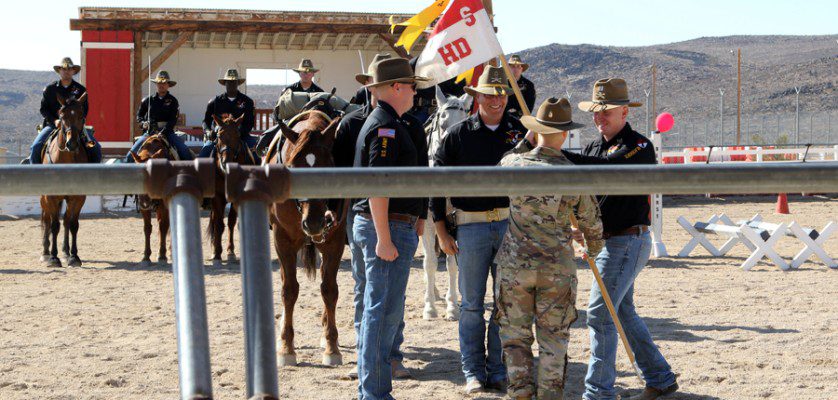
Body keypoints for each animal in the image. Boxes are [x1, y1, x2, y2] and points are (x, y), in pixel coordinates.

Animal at [41, 93, 88, 268]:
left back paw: (66, 252)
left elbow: (73, 224)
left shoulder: (79, 197)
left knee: (67, 220)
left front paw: (74, 256)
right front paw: (54, 258)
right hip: (44, 198)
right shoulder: (51, 197)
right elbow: (54, 226)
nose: (71, 143)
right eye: (61, 116)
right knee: (46, 220)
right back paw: (45, 253)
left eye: (81, 115)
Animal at [129, 133, 171, 268]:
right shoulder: (144, 208)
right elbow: (147, 228)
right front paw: (146, 256)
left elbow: (163, 227)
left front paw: (162, 255)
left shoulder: (164, 206)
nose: (145, 202)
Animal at [208, 115, 258, 266]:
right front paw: (217, 253)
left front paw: (230, 252)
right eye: (219, 135)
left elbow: (231, 222)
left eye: (238, 135)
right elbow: (219, 224)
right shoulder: (217, 197)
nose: (226, 162)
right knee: (215, 220)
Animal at [270, 111, 348, 368]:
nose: (313, 223)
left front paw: (332, 346)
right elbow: (289, 290)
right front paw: (286, 347)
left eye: (330, 167)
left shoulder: (334, 242)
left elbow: (329, 290)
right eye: (293, 167)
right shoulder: (282, 240)